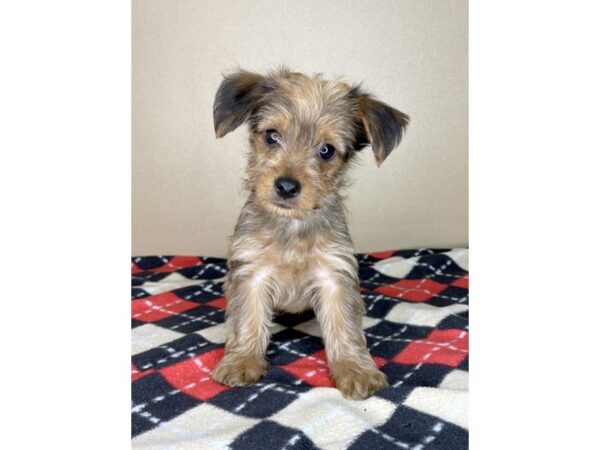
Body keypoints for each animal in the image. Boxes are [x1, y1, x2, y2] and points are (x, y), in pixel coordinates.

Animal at [210, 67, 408, 398]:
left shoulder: (334, 275)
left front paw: (355, 369)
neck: (292, 225)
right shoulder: (251, 273)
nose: (287, 186)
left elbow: (344, 326)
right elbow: (248, 318)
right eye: (272, 136)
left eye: (326, 151)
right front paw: (241, 361)